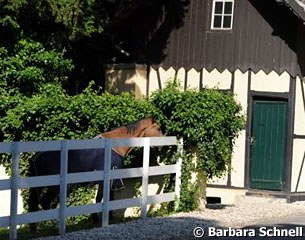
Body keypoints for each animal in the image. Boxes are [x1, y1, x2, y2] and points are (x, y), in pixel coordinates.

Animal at [27, 117, 163, 232]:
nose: (163, 143)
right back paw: (56, 225)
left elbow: (102, 199)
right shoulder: (107, 181)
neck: (114, 147)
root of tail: (36, 157)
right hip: (54, 187)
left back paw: (34, 228)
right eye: (158, 128)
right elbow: (101, 199)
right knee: (45, 202)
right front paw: (99, 220)